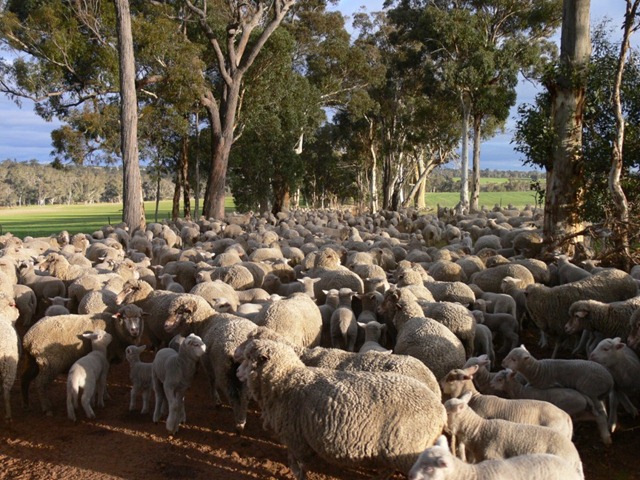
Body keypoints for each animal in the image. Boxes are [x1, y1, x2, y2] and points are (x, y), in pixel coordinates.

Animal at [234, 337, 447, 479]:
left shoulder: (294, 437)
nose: (236, 373)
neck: (286, 380)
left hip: (408, 450)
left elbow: (297, 466)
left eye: (248, 358)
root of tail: (440, 409)